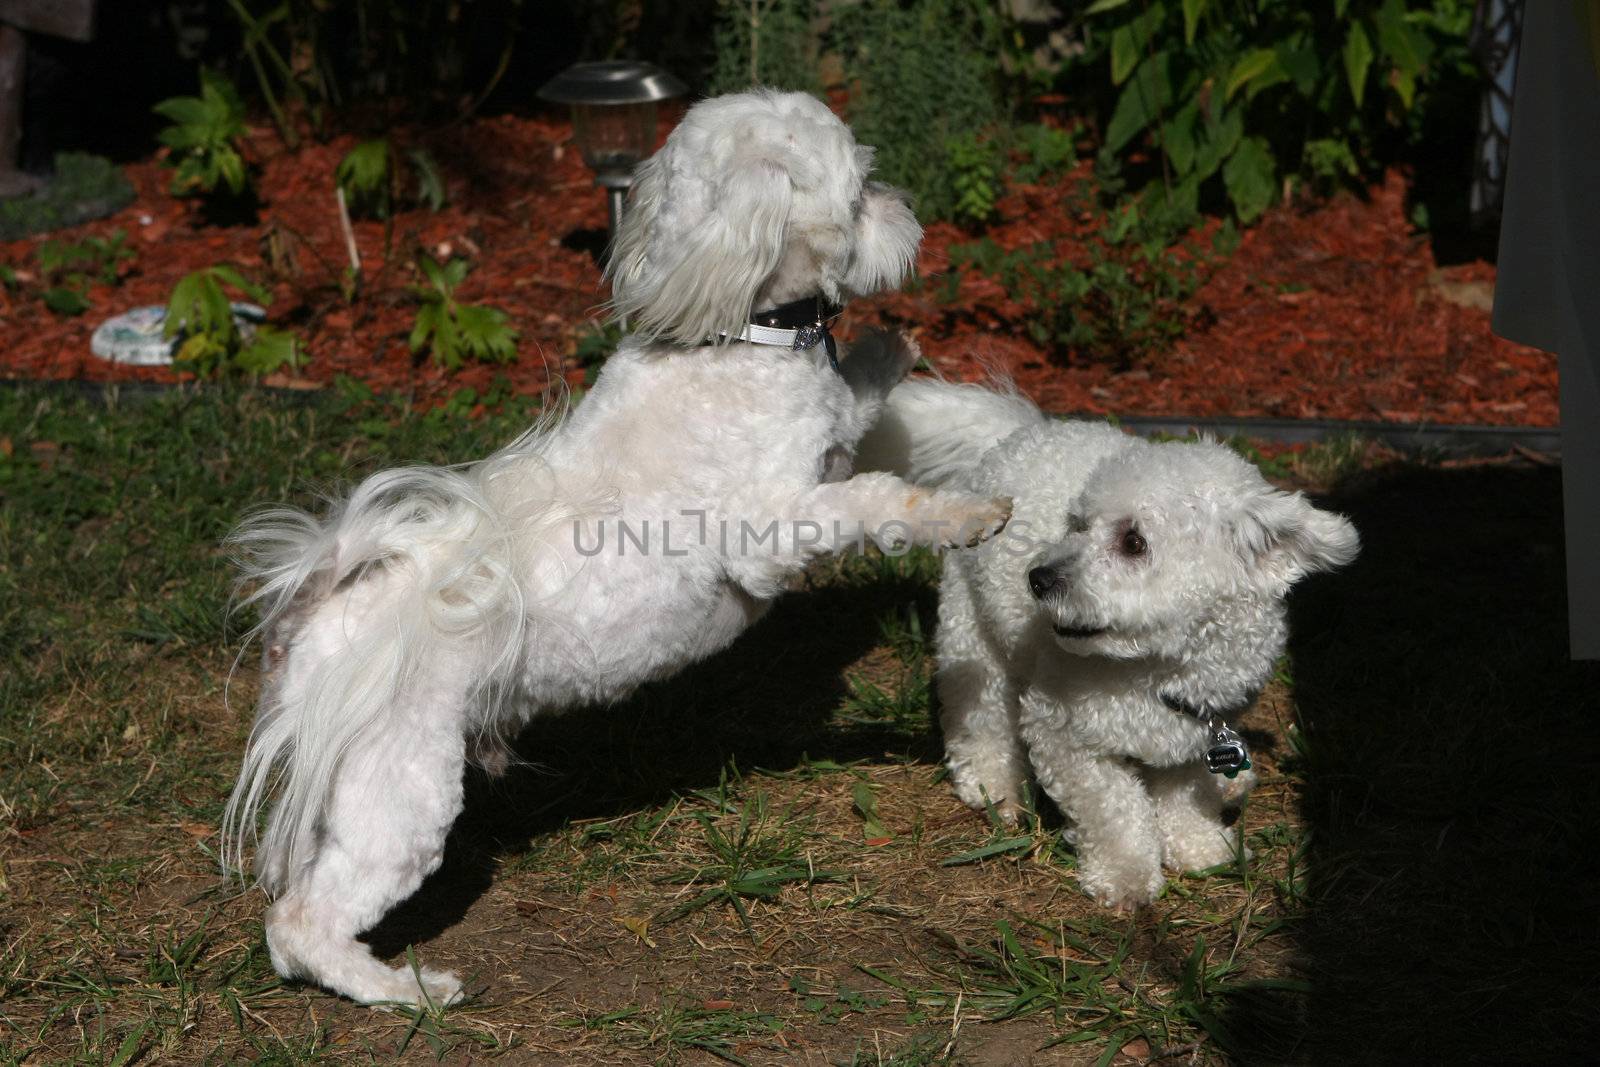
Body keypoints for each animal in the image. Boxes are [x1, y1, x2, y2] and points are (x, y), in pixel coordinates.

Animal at [222, 93, 1011, 1011]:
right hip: (401, 783)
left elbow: (851, 410)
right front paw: (966, 513)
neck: (734, 339)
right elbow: (876, 499)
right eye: (859, 191)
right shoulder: (772, 535)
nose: (909, 214)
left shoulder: (824, 439)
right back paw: (407, 991)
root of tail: (325, 603)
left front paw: (886, 352)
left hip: (344, 780)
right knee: (305, 921)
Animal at [857, 379, 1356, 908]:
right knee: (981, 715)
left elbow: (1184, 796)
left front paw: (1199, 845)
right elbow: (1112, 809)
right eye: (1078, 524)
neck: (1157, 668)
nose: (1038, 578)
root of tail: (1019, 431)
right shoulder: (1063, 735)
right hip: (970, 630)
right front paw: (1127, 874)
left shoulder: (1197, 733)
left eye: (1133, 542)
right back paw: (989, 782)